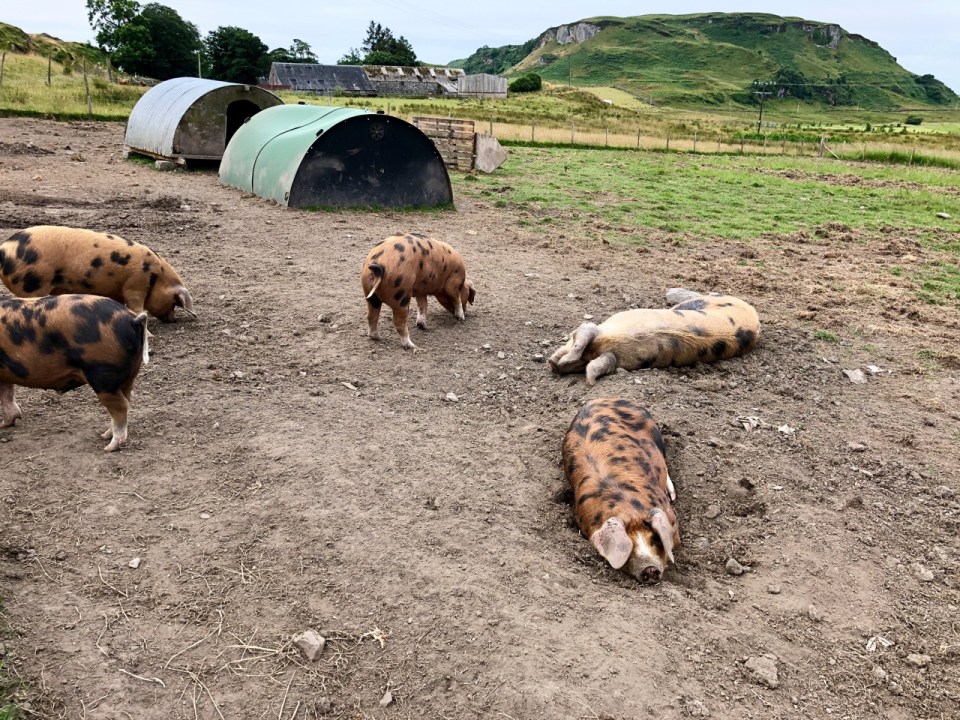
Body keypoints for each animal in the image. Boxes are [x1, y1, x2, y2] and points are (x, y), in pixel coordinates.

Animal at [0, 225, 196, 322]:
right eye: (174, 302)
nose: (173, 320)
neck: (156, 275)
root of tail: (4, 249)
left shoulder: (118, 290)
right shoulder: (135, 284)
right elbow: (137, 307)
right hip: (32, 283)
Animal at [0, 294, 150, 451]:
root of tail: (131, 319)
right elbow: (7, 394)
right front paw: (4, 425)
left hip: (103, 375)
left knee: (120, 407)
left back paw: (109, 446)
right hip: (129, 374)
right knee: (126, 401)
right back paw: (104, 435)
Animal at [562, 397, 679, 584]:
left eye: (654, 538)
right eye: (629, 546)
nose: (650, 568)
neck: (630, 508)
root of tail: (605, 398)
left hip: (657, 436)